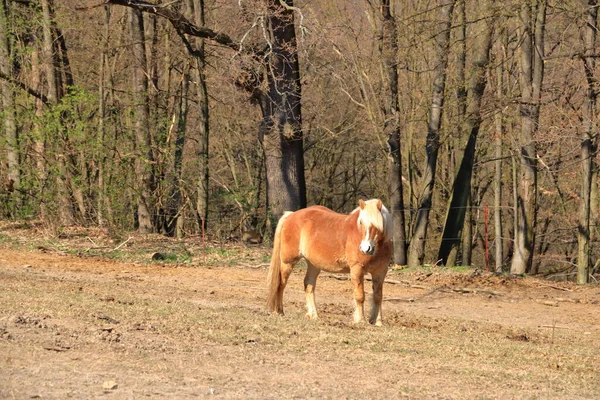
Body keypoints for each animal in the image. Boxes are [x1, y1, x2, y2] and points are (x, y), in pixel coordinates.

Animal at [268, 198, 394, 326]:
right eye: (361, 223)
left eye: (377, 225)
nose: (365, 249)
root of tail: (291, 215)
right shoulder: (357, 269)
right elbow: (360, 295)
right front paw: (360, 320)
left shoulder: (380, 272)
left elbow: (378, 297)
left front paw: (377, 321)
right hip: (287, 262)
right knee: (281, 284)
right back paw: (279, 311)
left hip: (313, 265)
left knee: (308, 285)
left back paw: (313, 315)